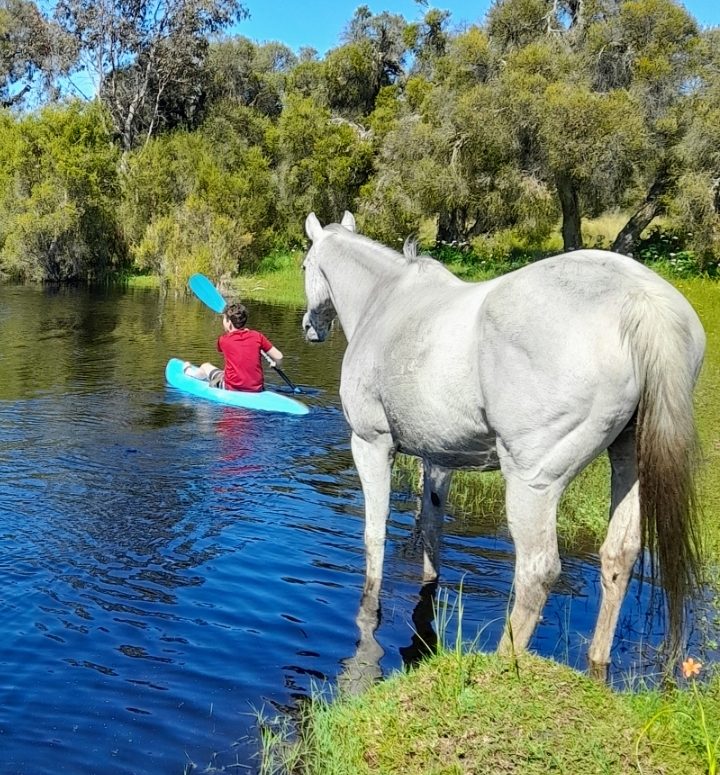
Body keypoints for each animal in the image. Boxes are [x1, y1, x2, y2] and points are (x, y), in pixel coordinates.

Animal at [300, 211, 704, 672]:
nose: (310, 327)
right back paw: (596, 663)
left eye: (304, 265)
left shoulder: (370, 444)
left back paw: (503, 662)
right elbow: (432, 527)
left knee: (537, 570)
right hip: (629, 459)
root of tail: (641, 300)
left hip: (533, 482)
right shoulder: (437, 459)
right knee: (619, 555)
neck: (384, 301)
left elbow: (375, 532)